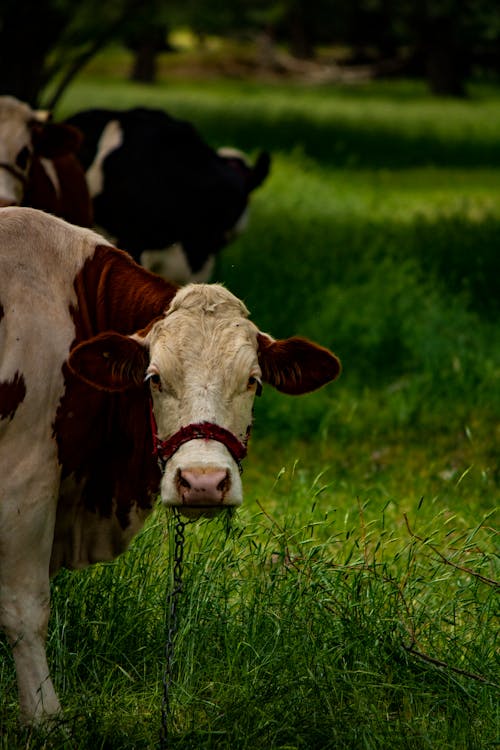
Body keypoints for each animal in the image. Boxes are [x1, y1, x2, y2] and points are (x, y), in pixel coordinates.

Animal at [0, 207, 340, 728]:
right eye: (154, 378)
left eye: (254, 381)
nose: (202, 482)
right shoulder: (25, 475)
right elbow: (25, 610)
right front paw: (43, 716)